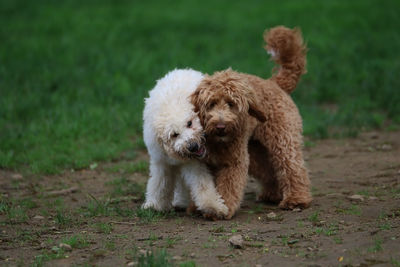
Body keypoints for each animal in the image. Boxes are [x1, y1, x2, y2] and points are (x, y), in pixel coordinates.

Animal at [141, 69, 228, 220]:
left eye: (189, 123)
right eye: (174, 134)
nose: (193, 146)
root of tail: (179, 70)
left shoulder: (194, 163)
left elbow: (203, 185)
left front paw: (213, 207)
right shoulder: (161, 160)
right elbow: (159, 182)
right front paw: (155, 204)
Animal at [191, 26, 312, 220]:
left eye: (232, 104)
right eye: (211, 104)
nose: (221, 126)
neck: (217, 142)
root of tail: (274, 83)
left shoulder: (233, 162)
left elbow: (228, 186)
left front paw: (222, 208)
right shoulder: (205, 163)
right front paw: (199, 207)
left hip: (283, 140)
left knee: (293, 168)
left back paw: (296, 199)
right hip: (254, 150)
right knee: (269, 170)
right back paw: (272, 195)